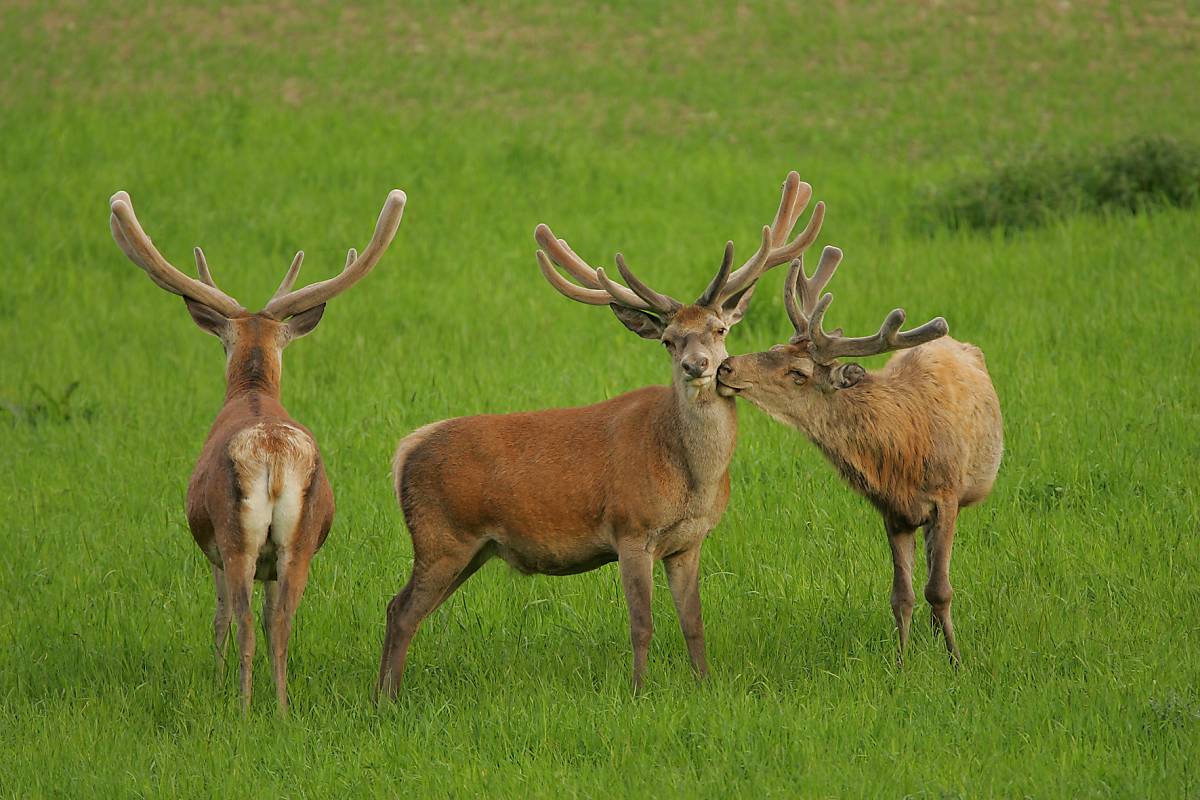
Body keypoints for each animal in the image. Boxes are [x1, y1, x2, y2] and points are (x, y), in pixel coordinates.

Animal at [109, 189, 408, 714]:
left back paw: (245, 708)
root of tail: (273, 455)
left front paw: (217, 683)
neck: (251, 390)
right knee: (281, 621)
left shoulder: (212, 550)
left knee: (243, 620)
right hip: (300, 540)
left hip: (235, 535)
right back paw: (283, 709)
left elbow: (219, 620)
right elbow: (271, 617)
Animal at [376, 173, 835, 695]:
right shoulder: (630, 529)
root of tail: (404, 451)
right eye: (668, 340)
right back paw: (387, 700)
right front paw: (638, 691)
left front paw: (704, 684)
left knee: (400, 607)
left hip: (471, 548)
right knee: (401, 611)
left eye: (719, 329)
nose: (696, 365)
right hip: (442, 535)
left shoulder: (688, 542)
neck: (691, 477)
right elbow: (642, 623)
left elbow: (694, 622)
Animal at [710, 253, 1003, 666]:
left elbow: (939, 589)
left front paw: (955, 661)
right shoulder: (892, 510)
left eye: (798, 373)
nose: (725, 367)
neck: (904, 449)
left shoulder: (946, 496)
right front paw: (902, 662)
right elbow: (901, 595)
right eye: (775, 346)